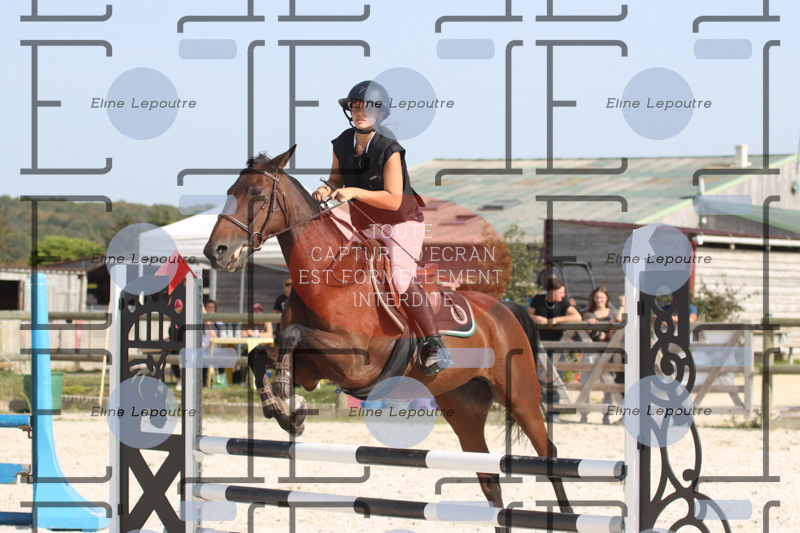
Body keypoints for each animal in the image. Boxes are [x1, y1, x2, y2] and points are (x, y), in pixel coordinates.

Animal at [203, 145, 573, 529]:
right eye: (231, 190)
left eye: (256, 193)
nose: (214, 251)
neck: (327, 275)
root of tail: (505, 309)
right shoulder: (315, 368)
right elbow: (259, 354)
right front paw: (285, 410)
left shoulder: (354, 362)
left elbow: (291, 334)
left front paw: (289, 399)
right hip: (464, 407)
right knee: (488, 476)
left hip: (521, 396)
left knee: (550, 456)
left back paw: (567, 515)